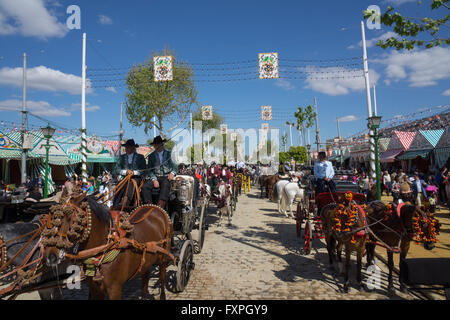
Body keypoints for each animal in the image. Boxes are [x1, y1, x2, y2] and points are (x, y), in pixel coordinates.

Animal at [40, 192, 174, 300]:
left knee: (162, 276)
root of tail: (153, 207)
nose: (50, 257)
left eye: (70, 217)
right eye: (51, 218)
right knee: (145, 276)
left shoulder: (115, 289)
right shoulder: (95, 290)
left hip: (163, 256)